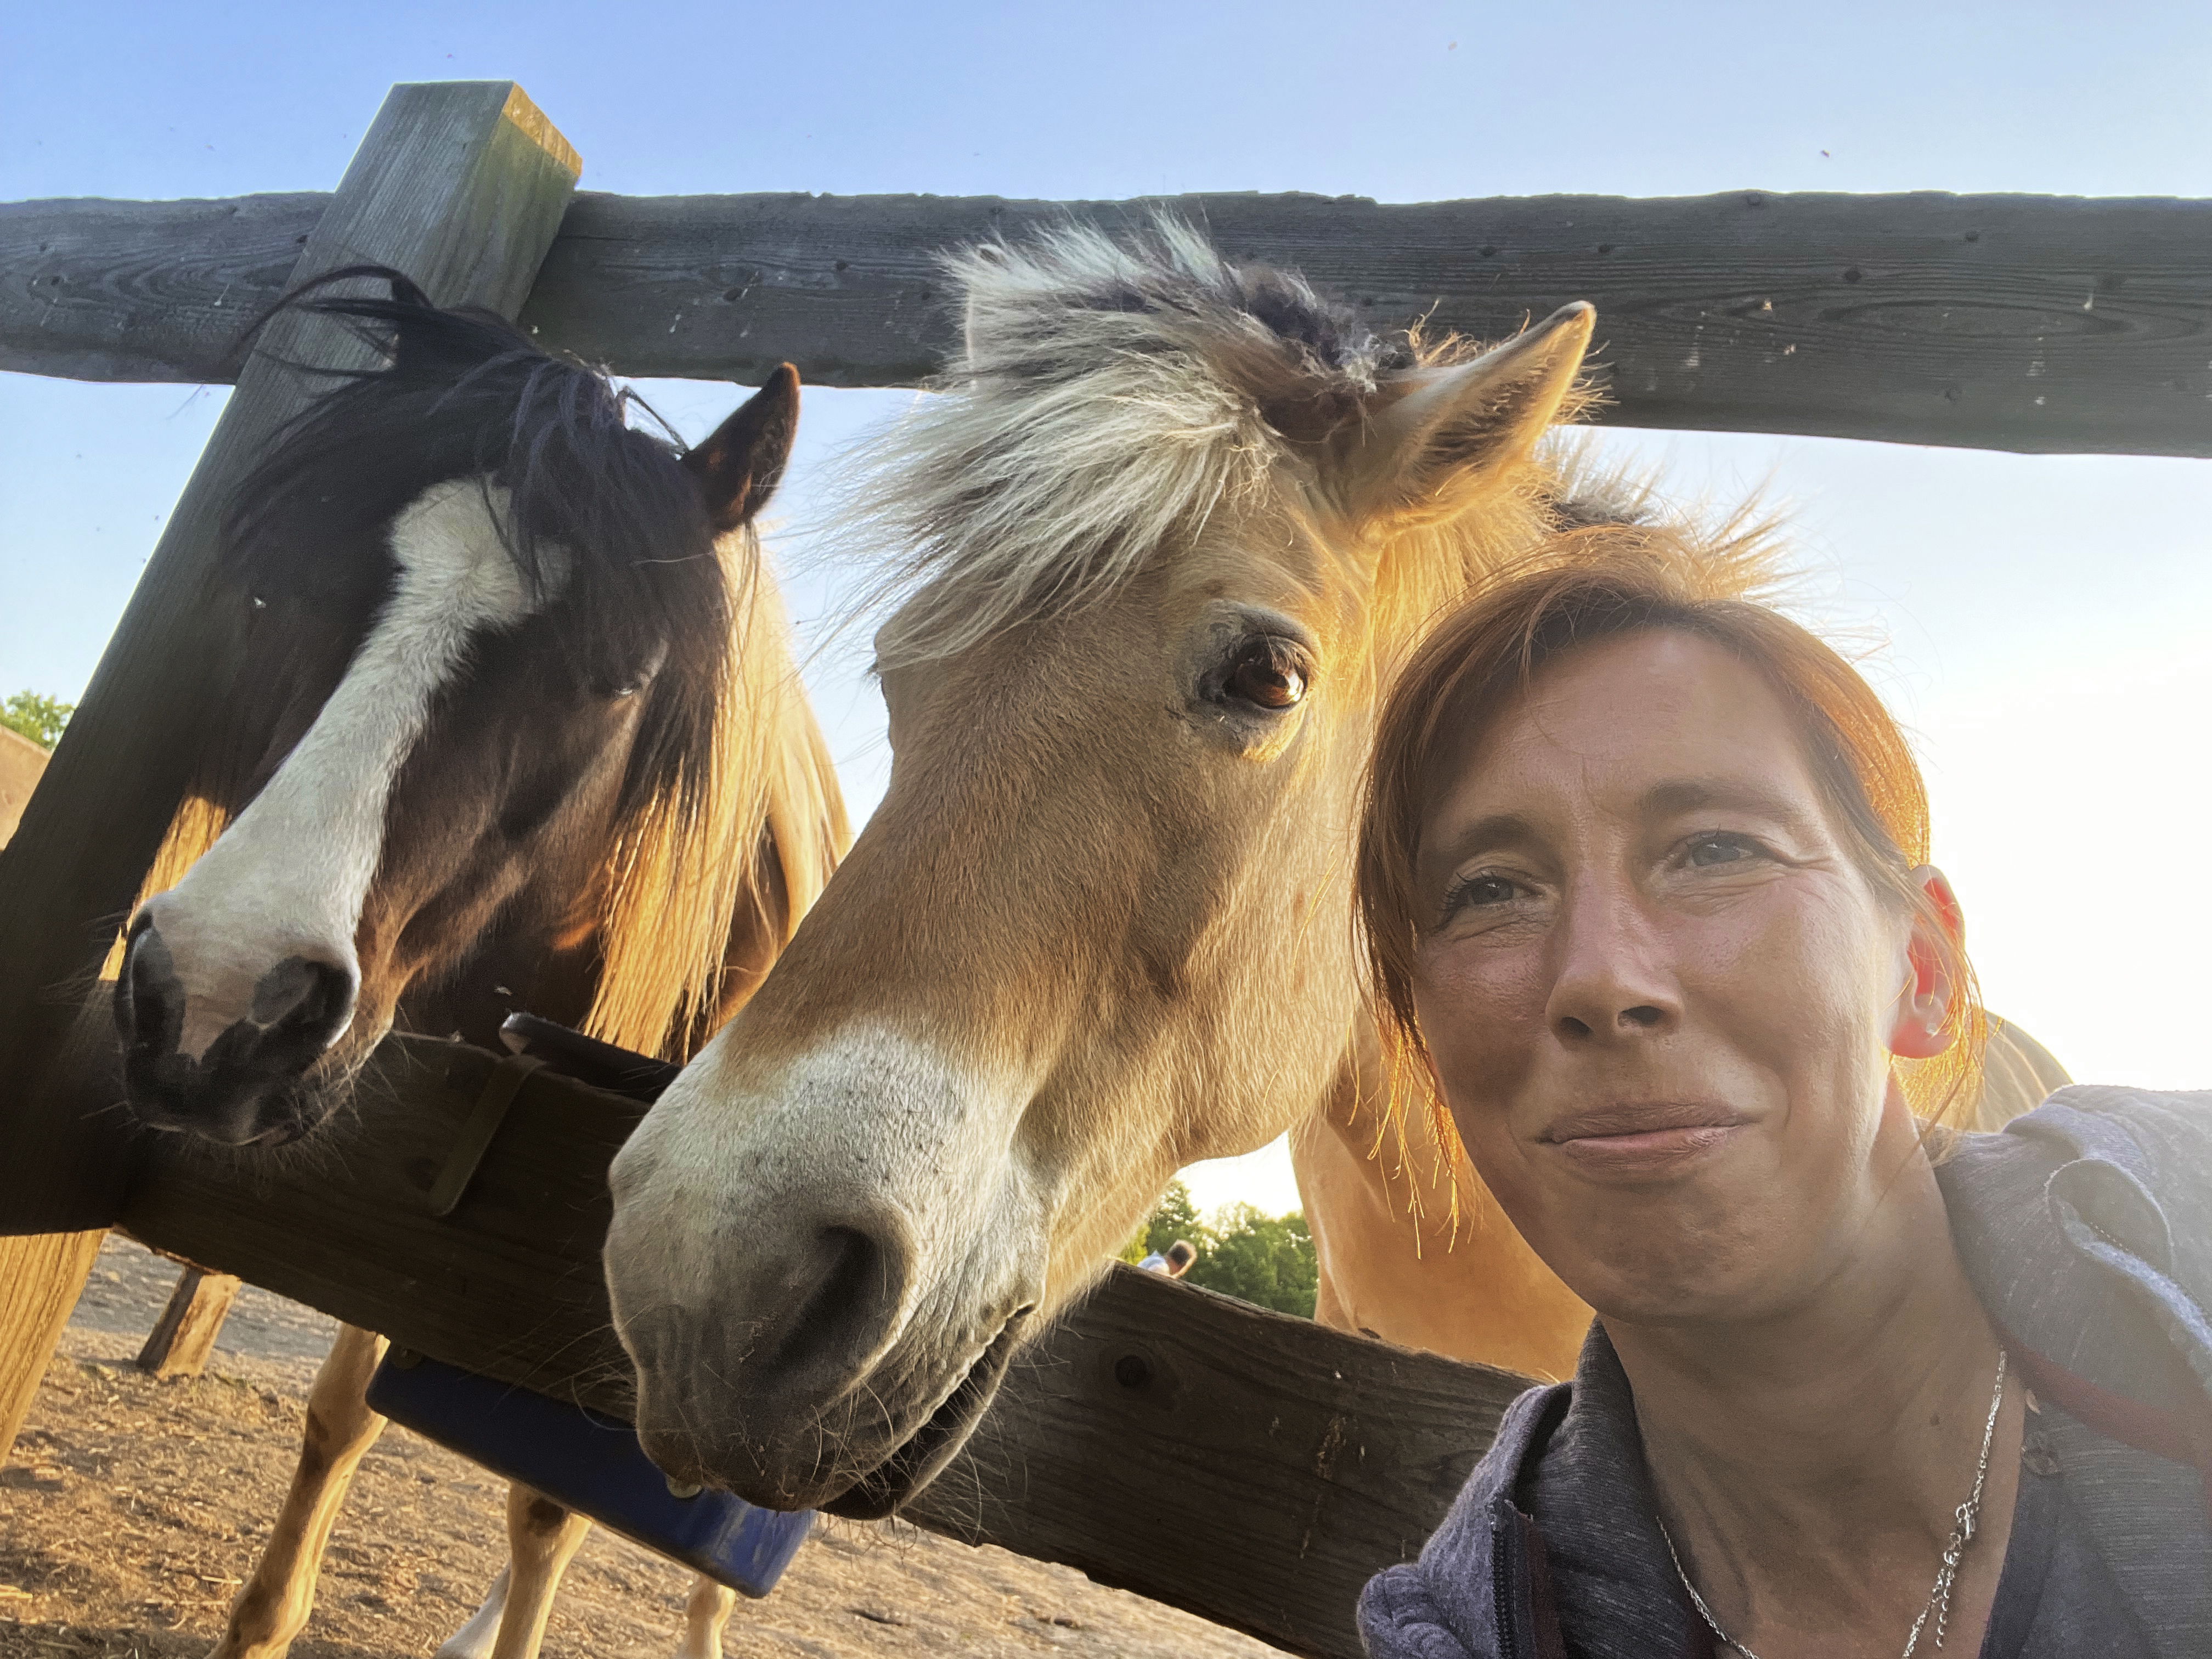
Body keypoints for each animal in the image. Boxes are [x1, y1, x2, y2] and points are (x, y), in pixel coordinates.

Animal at [106, 272, 847, 1659]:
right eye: (289, 593)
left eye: (618, 682)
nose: (219, 999)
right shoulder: (427, 1174)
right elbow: (345, 1414)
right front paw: (261, 1624)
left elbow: (553, 1509)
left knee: (700, 1566)